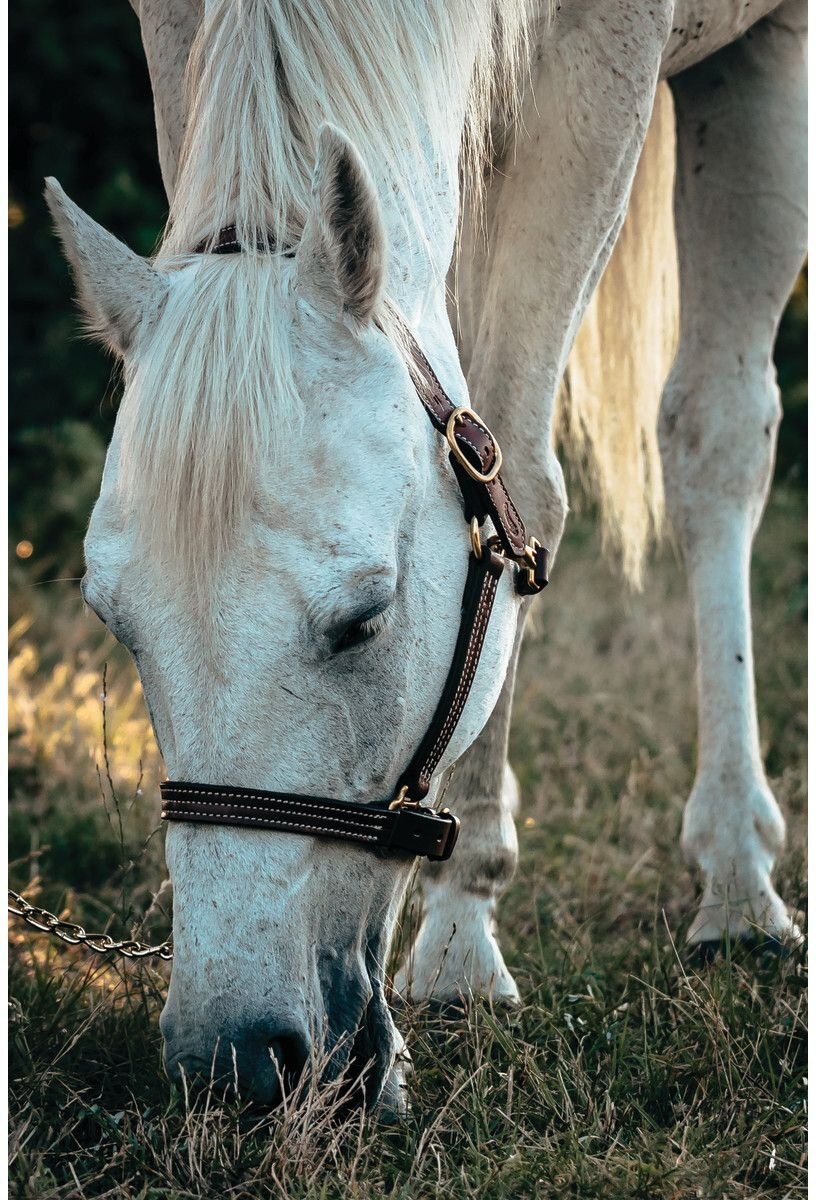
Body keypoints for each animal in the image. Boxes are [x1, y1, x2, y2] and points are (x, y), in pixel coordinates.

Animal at [47, 0, 806, 1113]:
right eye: (117, 624)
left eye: (364, 621)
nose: (235, 1061)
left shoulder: (603, 61)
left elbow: (519, 472)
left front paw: (460, 939)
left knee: (715, 439)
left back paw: (740, 883)